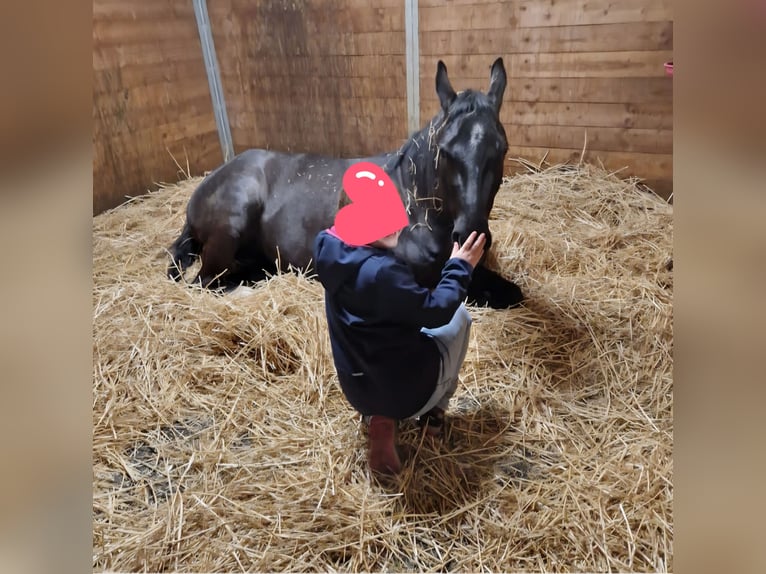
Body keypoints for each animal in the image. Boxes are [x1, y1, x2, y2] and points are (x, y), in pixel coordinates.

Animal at [168, 57, 523, 309]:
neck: (414, 209)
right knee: (203, 282)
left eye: (501, 149)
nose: (471, 235)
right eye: (446, 152)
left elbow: (512, 292)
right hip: (230, 228)